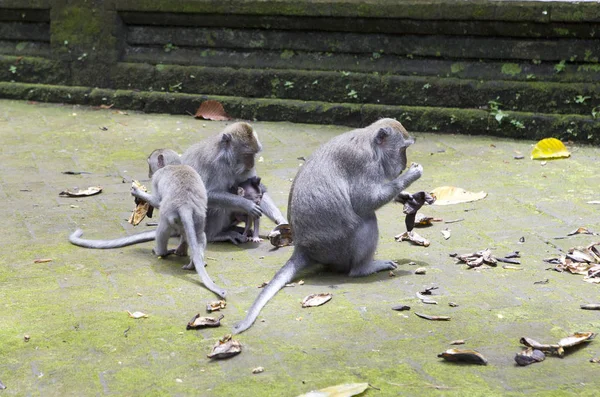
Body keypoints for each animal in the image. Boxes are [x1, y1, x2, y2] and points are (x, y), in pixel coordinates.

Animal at [68, 148, 227, 296]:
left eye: (150, 166)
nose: (149, 174)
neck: (175, 165)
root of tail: (185, 205)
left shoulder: (158, 177)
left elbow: (157, 201)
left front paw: (138, 192)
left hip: (170, 214)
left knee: (163, 229)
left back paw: (161, 252)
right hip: (198, 217)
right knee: (199, 235)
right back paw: (192, 259)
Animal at [232, 118, 424, 334]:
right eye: (403, 149)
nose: (404, 164)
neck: (371, 144)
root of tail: (303, 248)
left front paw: (405, 196)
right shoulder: (363, 163)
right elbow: (365, 202)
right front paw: (411, 175)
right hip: (337, 248)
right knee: (367, 219)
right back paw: (363, 268)